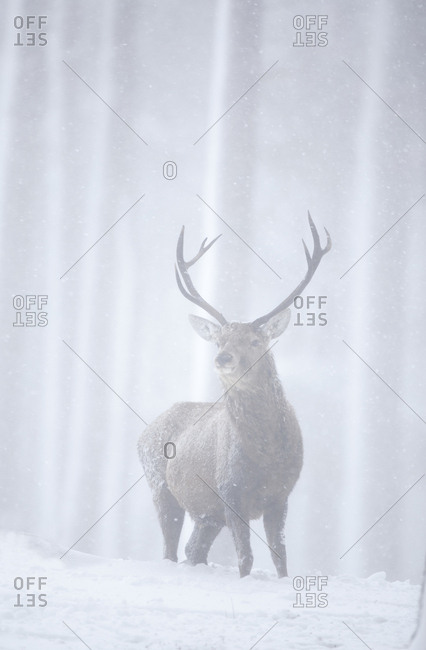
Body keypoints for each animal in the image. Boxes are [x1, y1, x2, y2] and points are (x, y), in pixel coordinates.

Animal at [138, 214, 331, 578]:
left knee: (194, 549)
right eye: (219, 340)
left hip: (205, 513)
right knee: (171, 549)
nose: (222, 358)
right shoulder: (230, 491)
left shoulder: (280, 495)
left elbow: (280, 558)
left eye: (255, 341)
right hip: (160, 486)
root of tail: (145, 430)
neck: (266, 455)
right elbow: (246, 558)